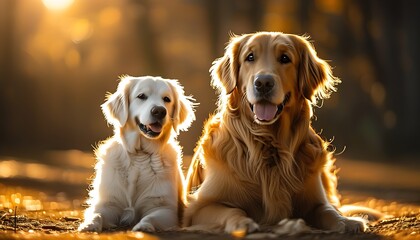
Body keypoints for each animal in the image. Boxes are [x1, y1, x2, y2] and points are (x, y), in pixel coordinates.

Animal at [78, 75, 196, 232]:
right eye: (141, 96)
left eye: (167, 99)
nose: (159, 111)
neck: (140, 154)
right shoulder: (108, 203)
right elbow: (96, 214)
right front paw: (89, 225)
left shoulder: (165, 209)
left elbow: (150, 217)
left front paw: (143, 226)